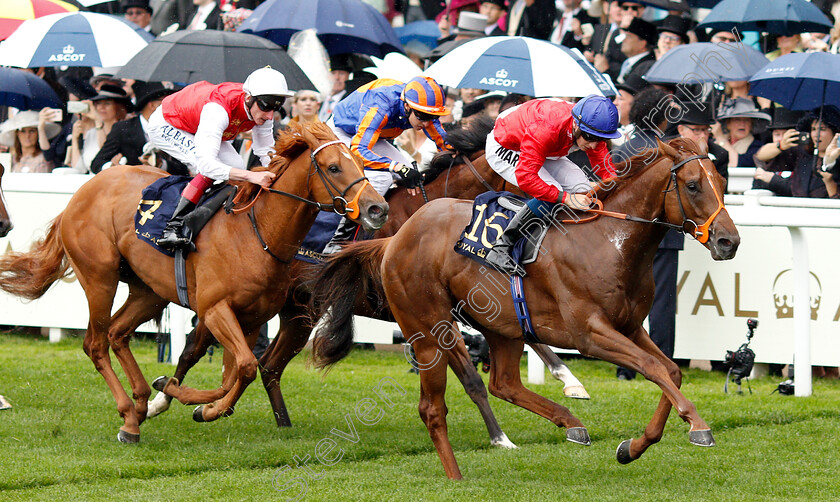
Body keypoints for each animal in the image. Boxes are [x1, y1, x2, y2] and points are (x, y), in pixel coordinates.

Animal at [0, 122, 388, 444]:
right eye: (334, 167)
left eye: (360, 163)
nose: (377, 209)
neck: (257, 232)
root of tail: (84, 190)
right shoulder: (215, 310)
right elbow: (243, 367)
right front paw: (185, 397)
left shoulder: (252, 318)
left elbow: (237, 373)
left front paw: (195, 404)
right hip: (100, 277)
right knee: (95, 343)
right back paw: (130, 415)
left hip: (149, 291)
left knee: (117, 333)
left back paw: (139, 406)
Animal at [310, 138, 740, 478]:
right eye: (693, 185)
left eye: (722, 183)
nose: (728, 241)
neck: (609, 241)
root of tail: (395, 239)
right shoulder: (590, 333)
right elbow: (653, 368)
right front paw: (698, 426)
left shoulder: (630, 326)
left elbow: (670, 371)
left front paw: (633, 447)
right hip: (429, 330)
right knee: (433, 407)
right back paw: (456, 477)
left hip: (502, 325)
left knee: (503, 383)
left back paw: (570, 423)